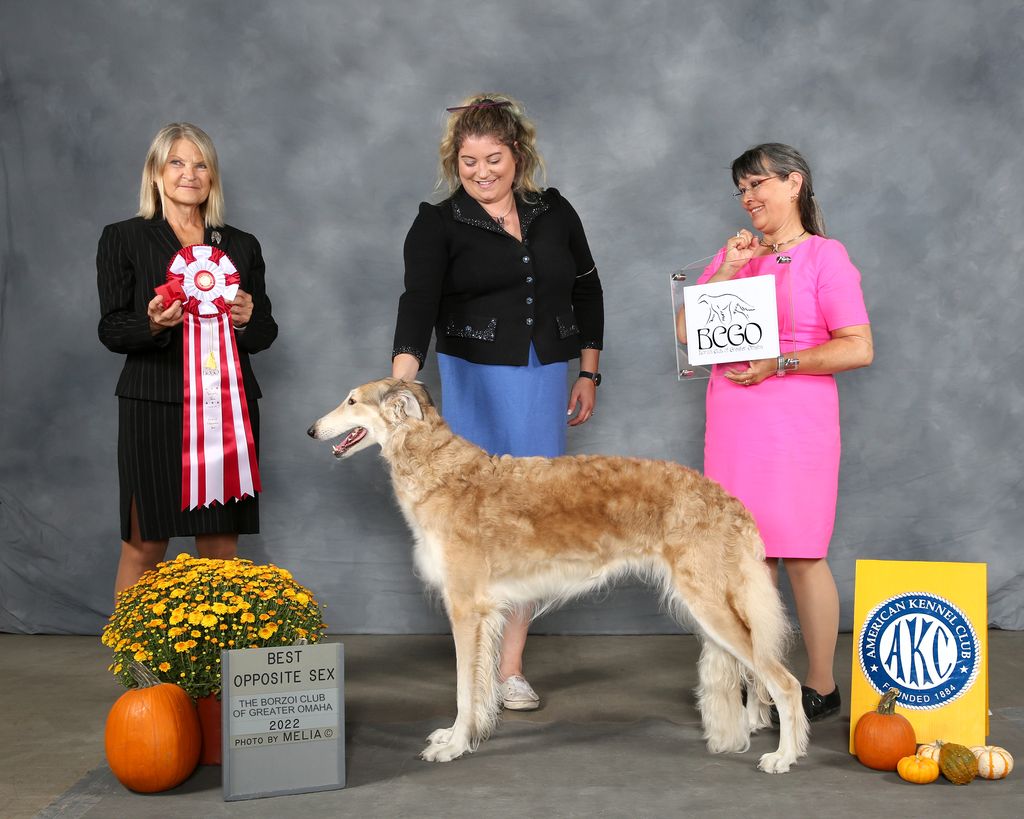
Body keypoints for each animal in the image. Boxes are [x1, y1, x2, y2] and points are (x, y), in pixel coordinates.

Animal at [307, 378, 811, 773]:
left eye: (351, 401)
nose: (312, 430)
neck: (440, 471)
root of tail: (731, 502)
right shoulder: (484, 614)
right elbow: (476, 689)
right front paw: (458, 736)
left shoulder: (466, 609)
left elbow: (464, 690)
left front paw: (454, 745)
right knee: (760, 675)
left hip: (711, 605)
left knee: (784, 683)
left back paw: (783, 756)